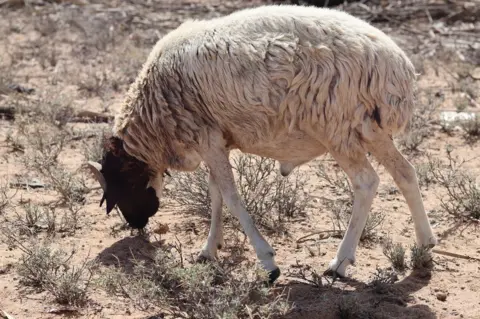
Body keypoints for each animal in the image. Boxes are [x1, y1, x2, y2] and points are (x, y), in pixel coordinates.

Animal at [87, 3, 438, 284]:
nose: (136, 224)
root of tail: (398, 68)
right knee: (405, 172)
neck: (153, 120)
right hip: (370, 129)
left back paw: (340, 262)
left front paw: (268, 263)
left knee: (367, 182)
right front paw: (210, 249)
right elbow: (215, 193)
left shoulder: (206, 138)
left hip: (337, 128)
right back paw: (425, 242)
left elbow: (231, 198)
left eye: (121, 185)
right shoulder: (218, 140)